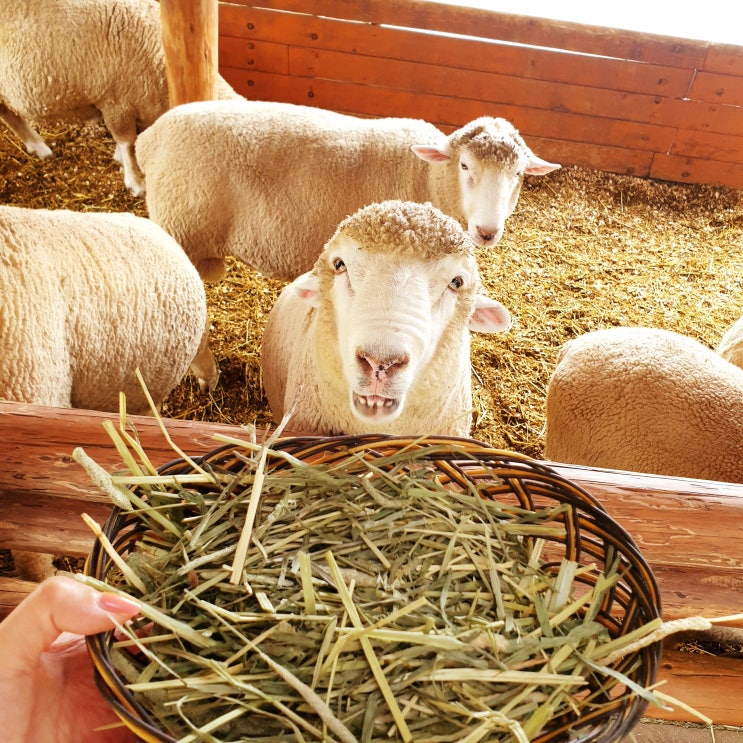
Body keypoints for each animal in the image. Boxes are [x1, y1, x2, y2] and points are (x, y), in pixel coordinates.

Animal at [137, 97, 560, 284]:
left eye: (518, 173)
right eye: (465, 166)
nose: (487, 232)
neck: (426, 175)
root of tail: (152, 137)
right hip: (183, 229)